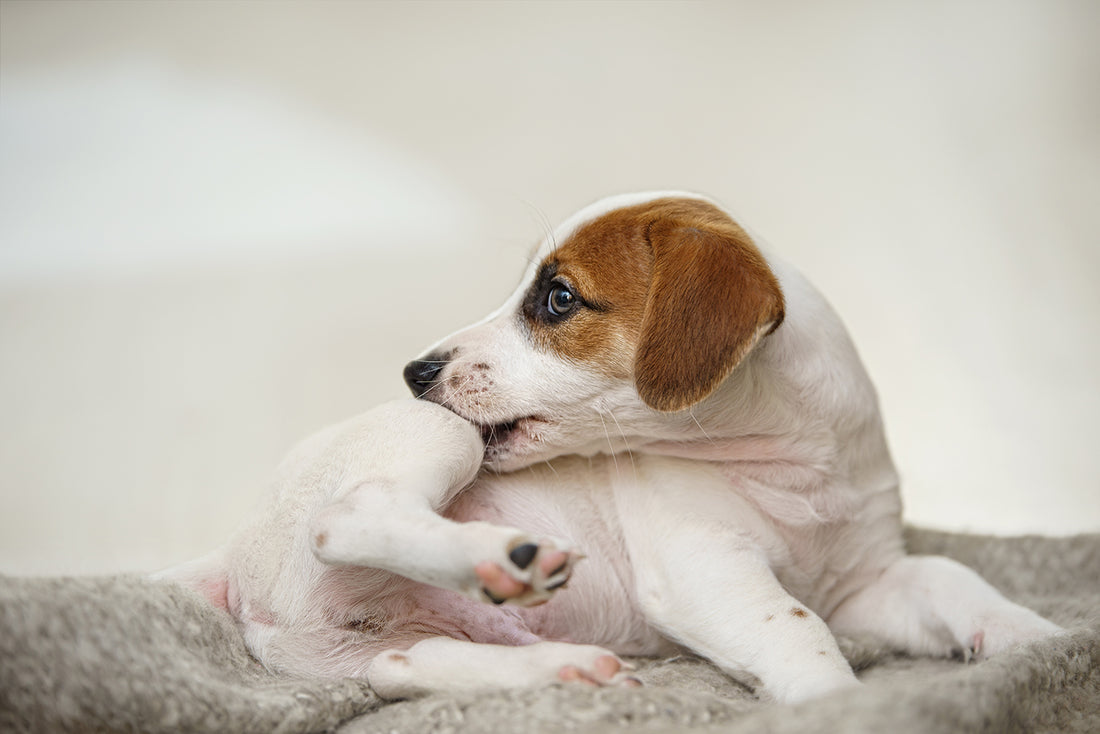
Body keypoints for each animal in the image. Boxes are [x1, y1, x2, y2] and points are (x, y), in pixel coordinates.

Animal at [165, 192, 1064, 704]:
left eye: (558, 299)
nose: (416, 372)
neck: (790, 466)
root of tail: (232, 557)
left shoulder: (866, 583)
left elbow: (951, 577)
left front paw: (1038, 639)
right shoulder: (706, 570)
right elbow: (795, 627)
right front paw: (839, 704)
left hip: (375, 647)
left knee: (404, 669)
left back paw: (561, 670)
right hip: (432, 439)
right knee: (348, 517)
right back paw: (501, 557)